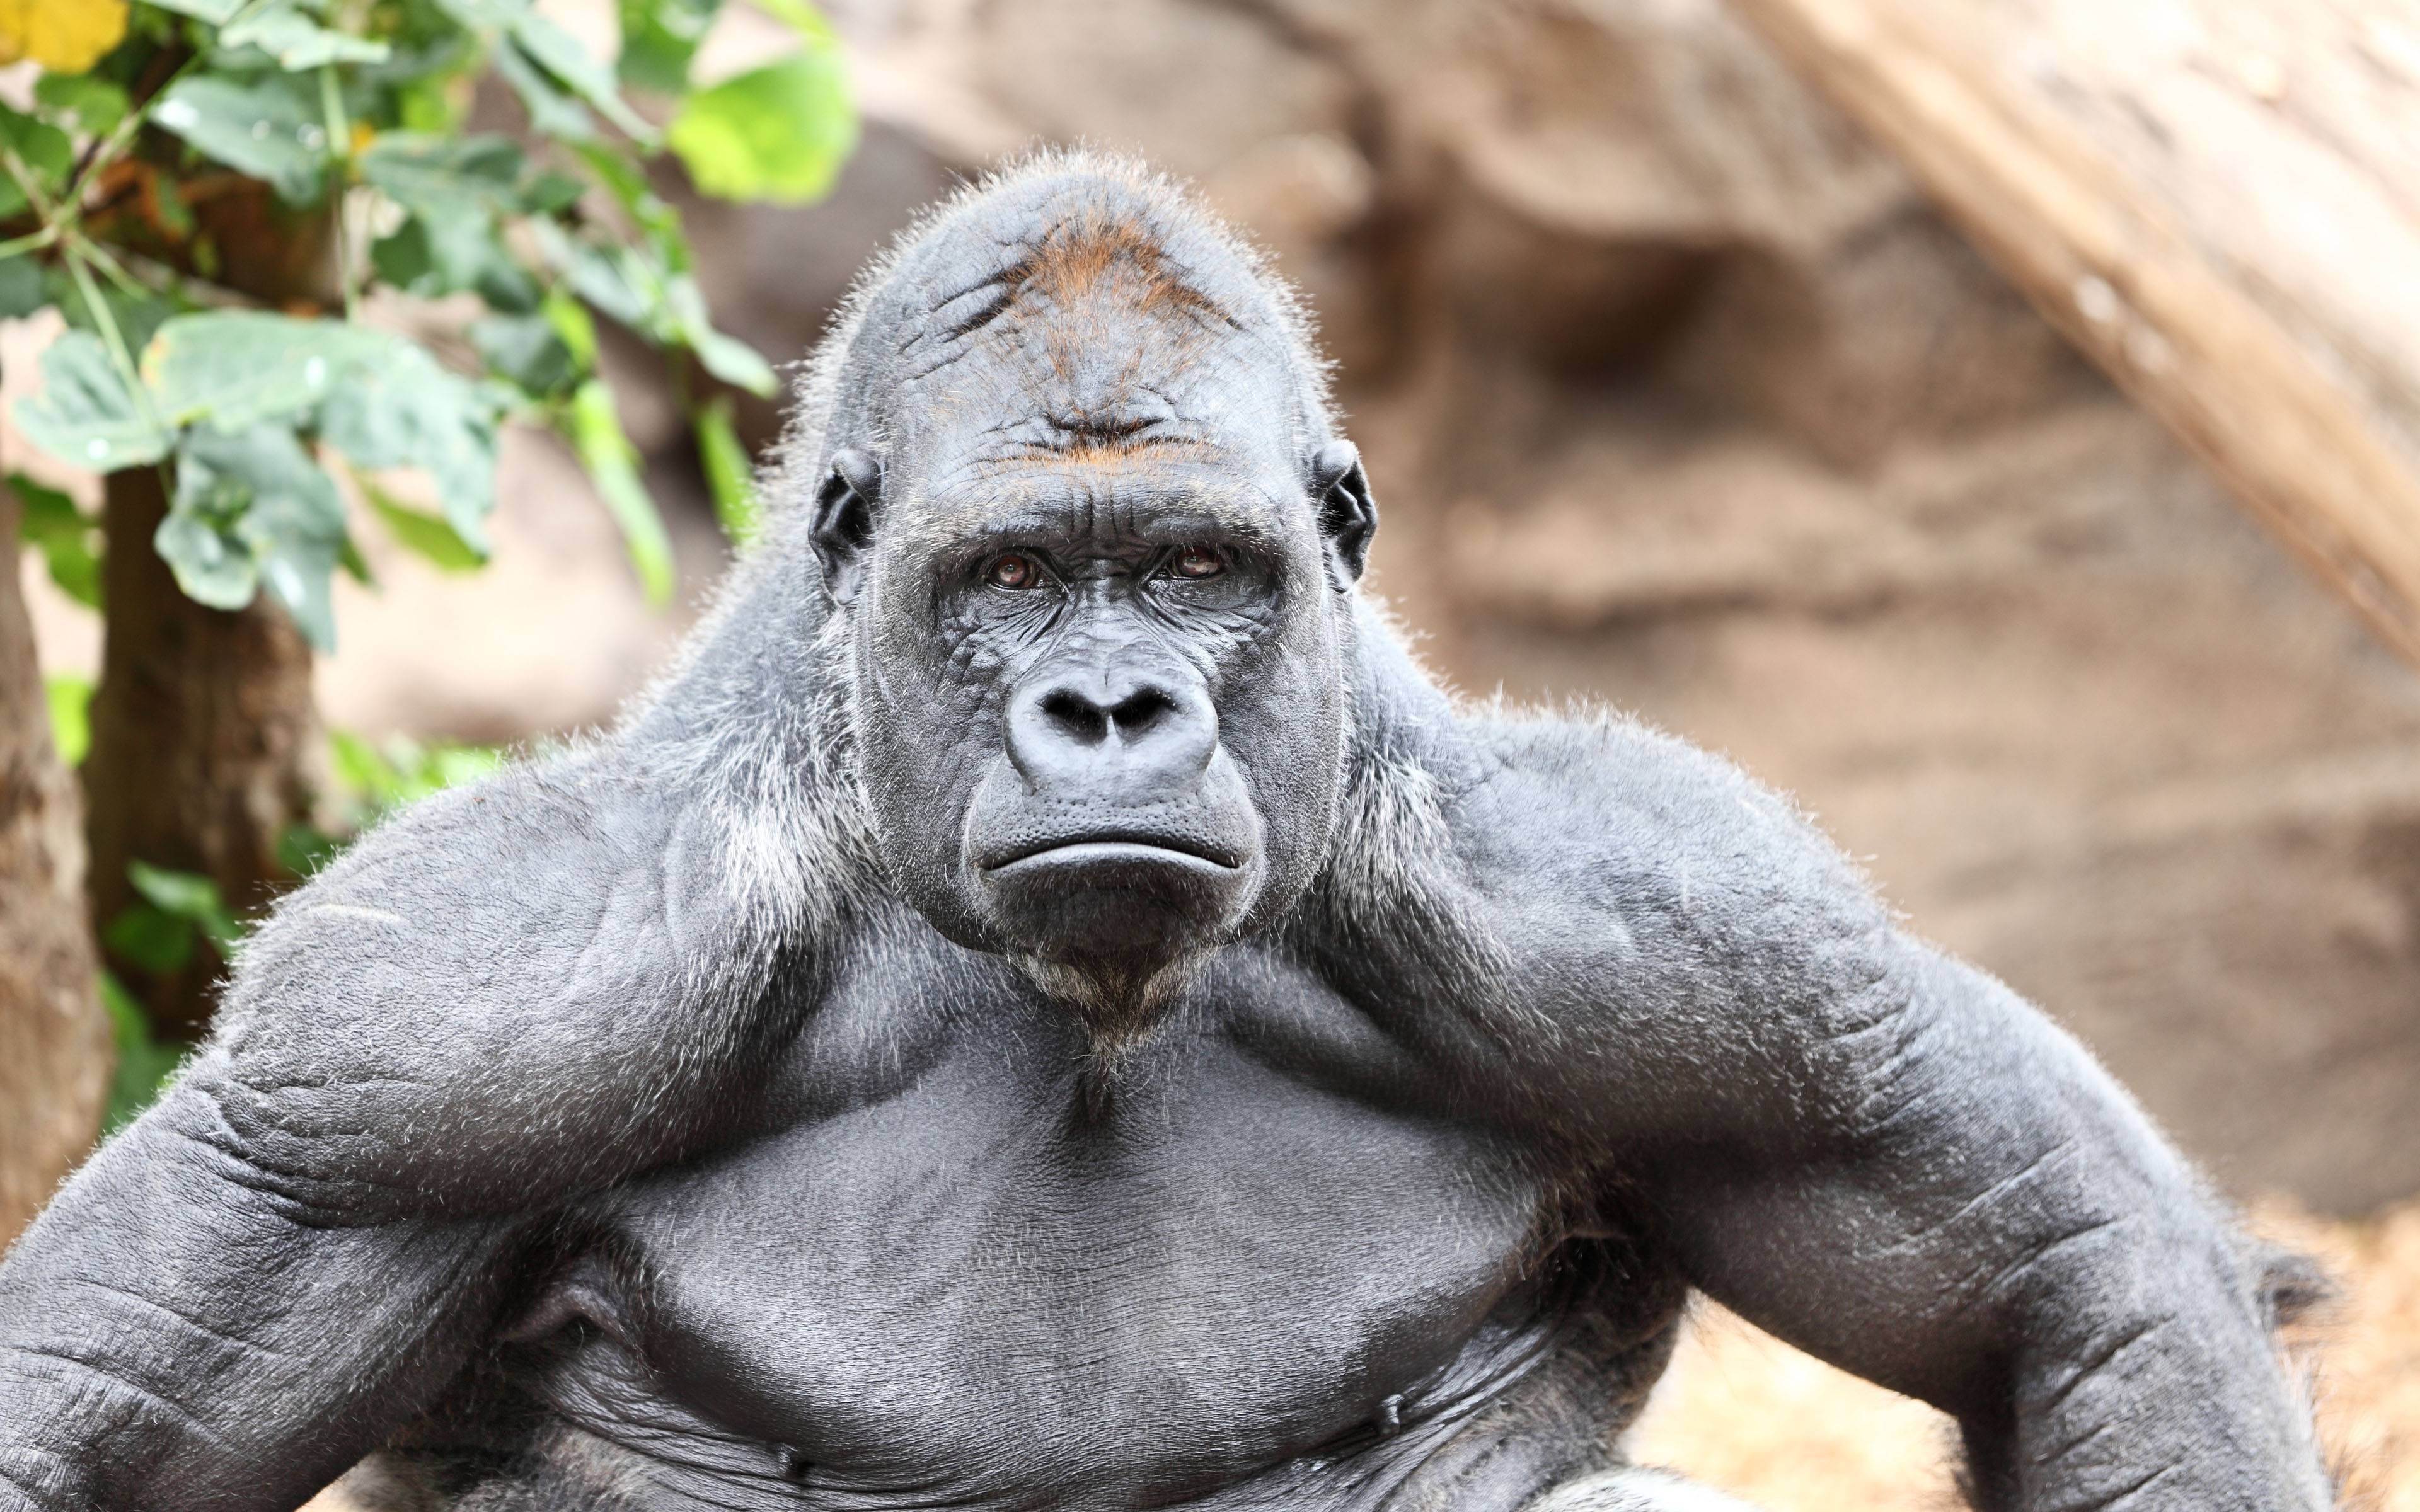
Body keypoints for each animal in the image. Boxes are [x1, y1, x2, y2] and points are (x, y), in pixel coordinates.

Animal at [0, 151, 2332, 1512]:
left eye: (1196, 572)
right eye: (1017, 578)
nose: (1109, 707)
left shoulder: (1705, 946)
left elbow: (2072, 1273)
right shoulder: (438, 1025)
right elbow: (89, 1411)